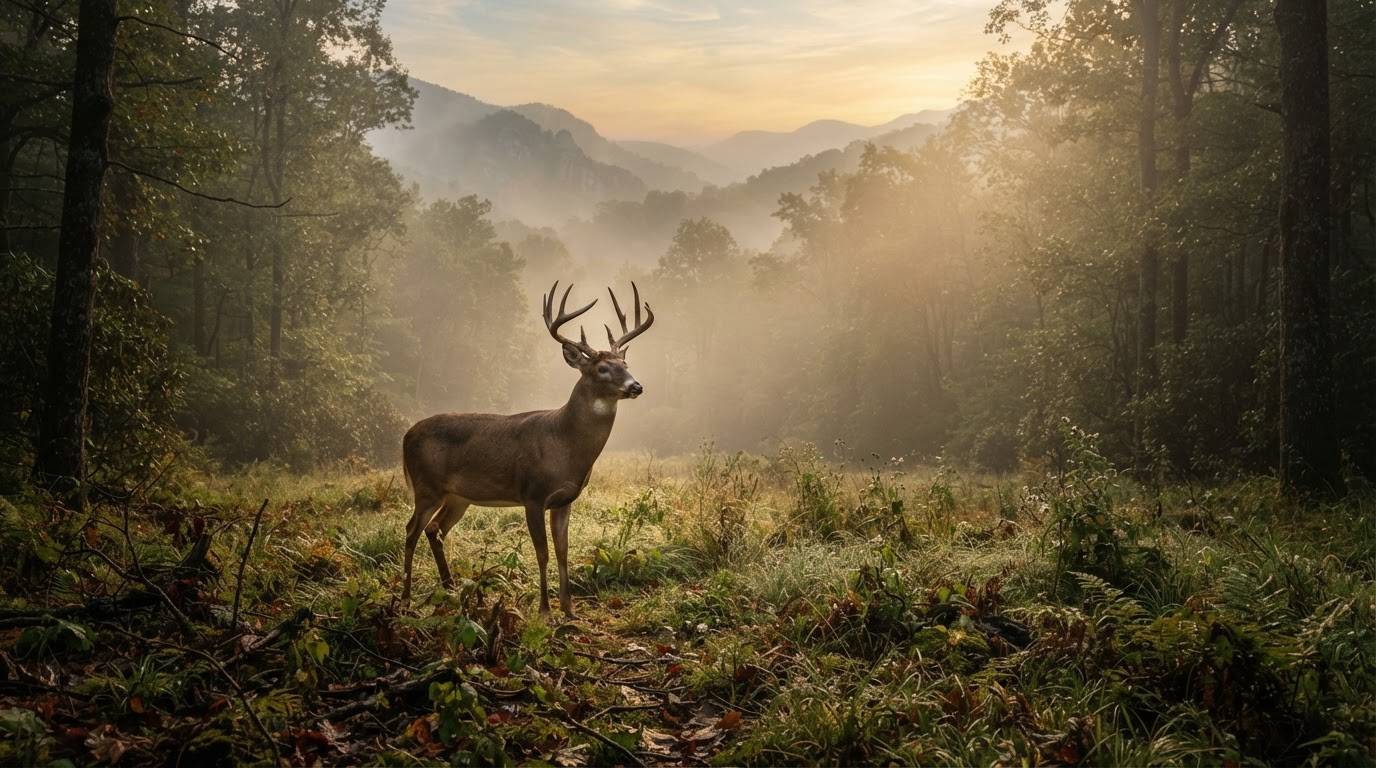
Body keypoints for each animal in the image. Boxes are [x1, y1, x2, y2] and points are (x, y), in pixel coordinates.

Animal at [400, 281, 655, 618]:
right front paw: (545, 611)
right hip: (426, 486)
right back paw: (405, 600)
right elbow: (542, 553)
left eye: (625, 364)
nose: (636, 386)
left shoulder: (565, 500)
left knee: (434, 529)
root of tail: (406, 435)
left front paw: (569, 610)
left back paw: (450, 589)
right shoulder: (532, 494)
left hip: (458, 496)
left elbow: (562, 551)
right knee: (411, 530)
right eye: (602, 368)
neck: (564, 445)